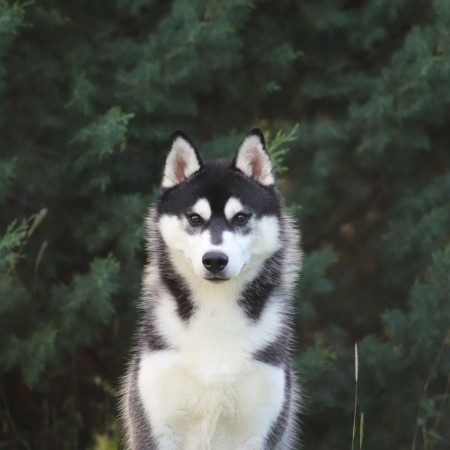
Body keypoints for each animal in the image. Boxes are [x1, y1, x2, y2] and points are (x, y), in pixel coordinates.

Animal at [121, 128, 300, 448]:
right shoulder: (153, 427)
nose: (215, 259)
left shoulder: (260, 431)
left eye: (240, 217)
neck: (216, 310)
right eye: (195, 218)